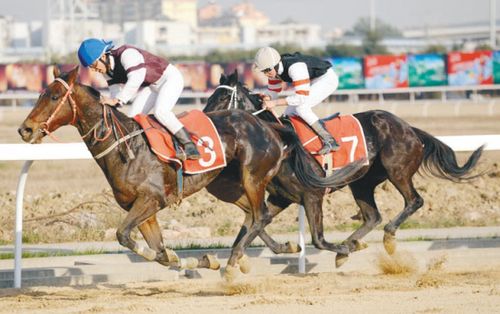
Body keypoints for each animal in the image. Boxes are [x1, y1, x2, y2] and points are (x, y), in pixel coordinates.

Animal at [17, 67, 362, 280]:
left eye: (52, 96)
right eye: (40, 94)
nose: (25, 129)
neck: (124, 146)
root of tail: (268, 126)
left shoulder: (151, 200)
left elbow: (123, 235)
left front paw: (191, 259)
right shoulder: (144, 208)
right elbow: (156, 250)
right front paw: (193, 259)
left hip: (253, 176)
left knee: (261, 214)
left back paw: (240, 260)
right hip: (226, 186)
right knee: (253, 214)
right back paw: (271, 251)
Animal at [204, 72, 484, 268]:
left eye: (221, 98)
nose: (204, 119)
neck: (281, 143)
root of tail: (409, 128)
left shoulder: (312, 195)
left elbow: (316, 239)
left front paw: (341, 250)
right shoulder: (280, 197)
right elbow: (257, 225)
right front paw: (287, 248)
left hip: (397, 170)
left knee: (414, 201)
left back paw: (385, 238)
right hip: (361, 182)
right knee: (372, 216)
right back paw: (353, 242)